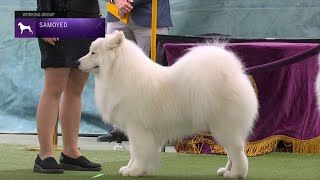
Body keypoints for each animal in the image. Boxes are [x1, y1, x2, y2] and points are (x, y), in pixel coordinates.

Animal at [79, 30, 258, 179]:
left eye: (93, 53)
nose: (77, 62)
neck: (118, 71)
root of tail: (234, 73)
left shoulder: (137, 128)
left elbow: (137, 151)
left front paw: (135, 171)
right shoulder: (135, 130)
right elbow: (133, 153)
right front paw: (131, 168)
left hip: (224, 127)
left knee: (237, 152)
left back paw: (236, 174)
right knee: (232, 152)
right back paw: (226, 170)